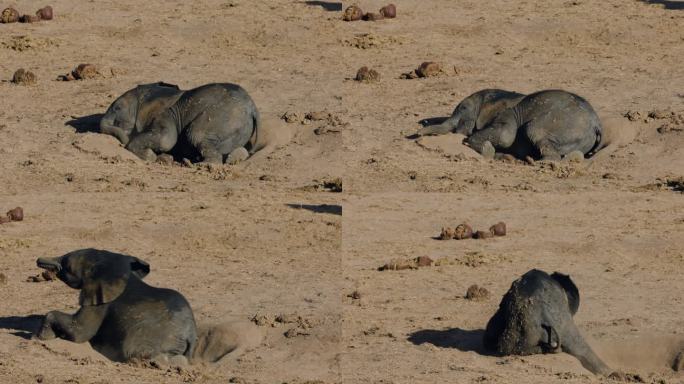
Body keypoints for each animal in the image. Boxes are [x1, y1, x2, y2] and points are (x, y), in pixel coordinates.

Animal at [36, 249, 258, 364]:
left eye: (66, 263)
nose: (39, 259)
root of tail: (189, 336)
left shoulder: (101, 303)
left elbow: (81, 332)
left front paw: (39, 337)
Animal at [100, 82, 260, 164]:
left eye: (117, 108)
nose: (122, 142)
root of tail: (252, 107)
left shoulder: (164, 115)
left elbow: (167, 140)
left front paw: (150, 157)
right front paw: (164, 159)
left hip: (223, 115)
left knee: (195, 134)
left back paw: (199, 165)